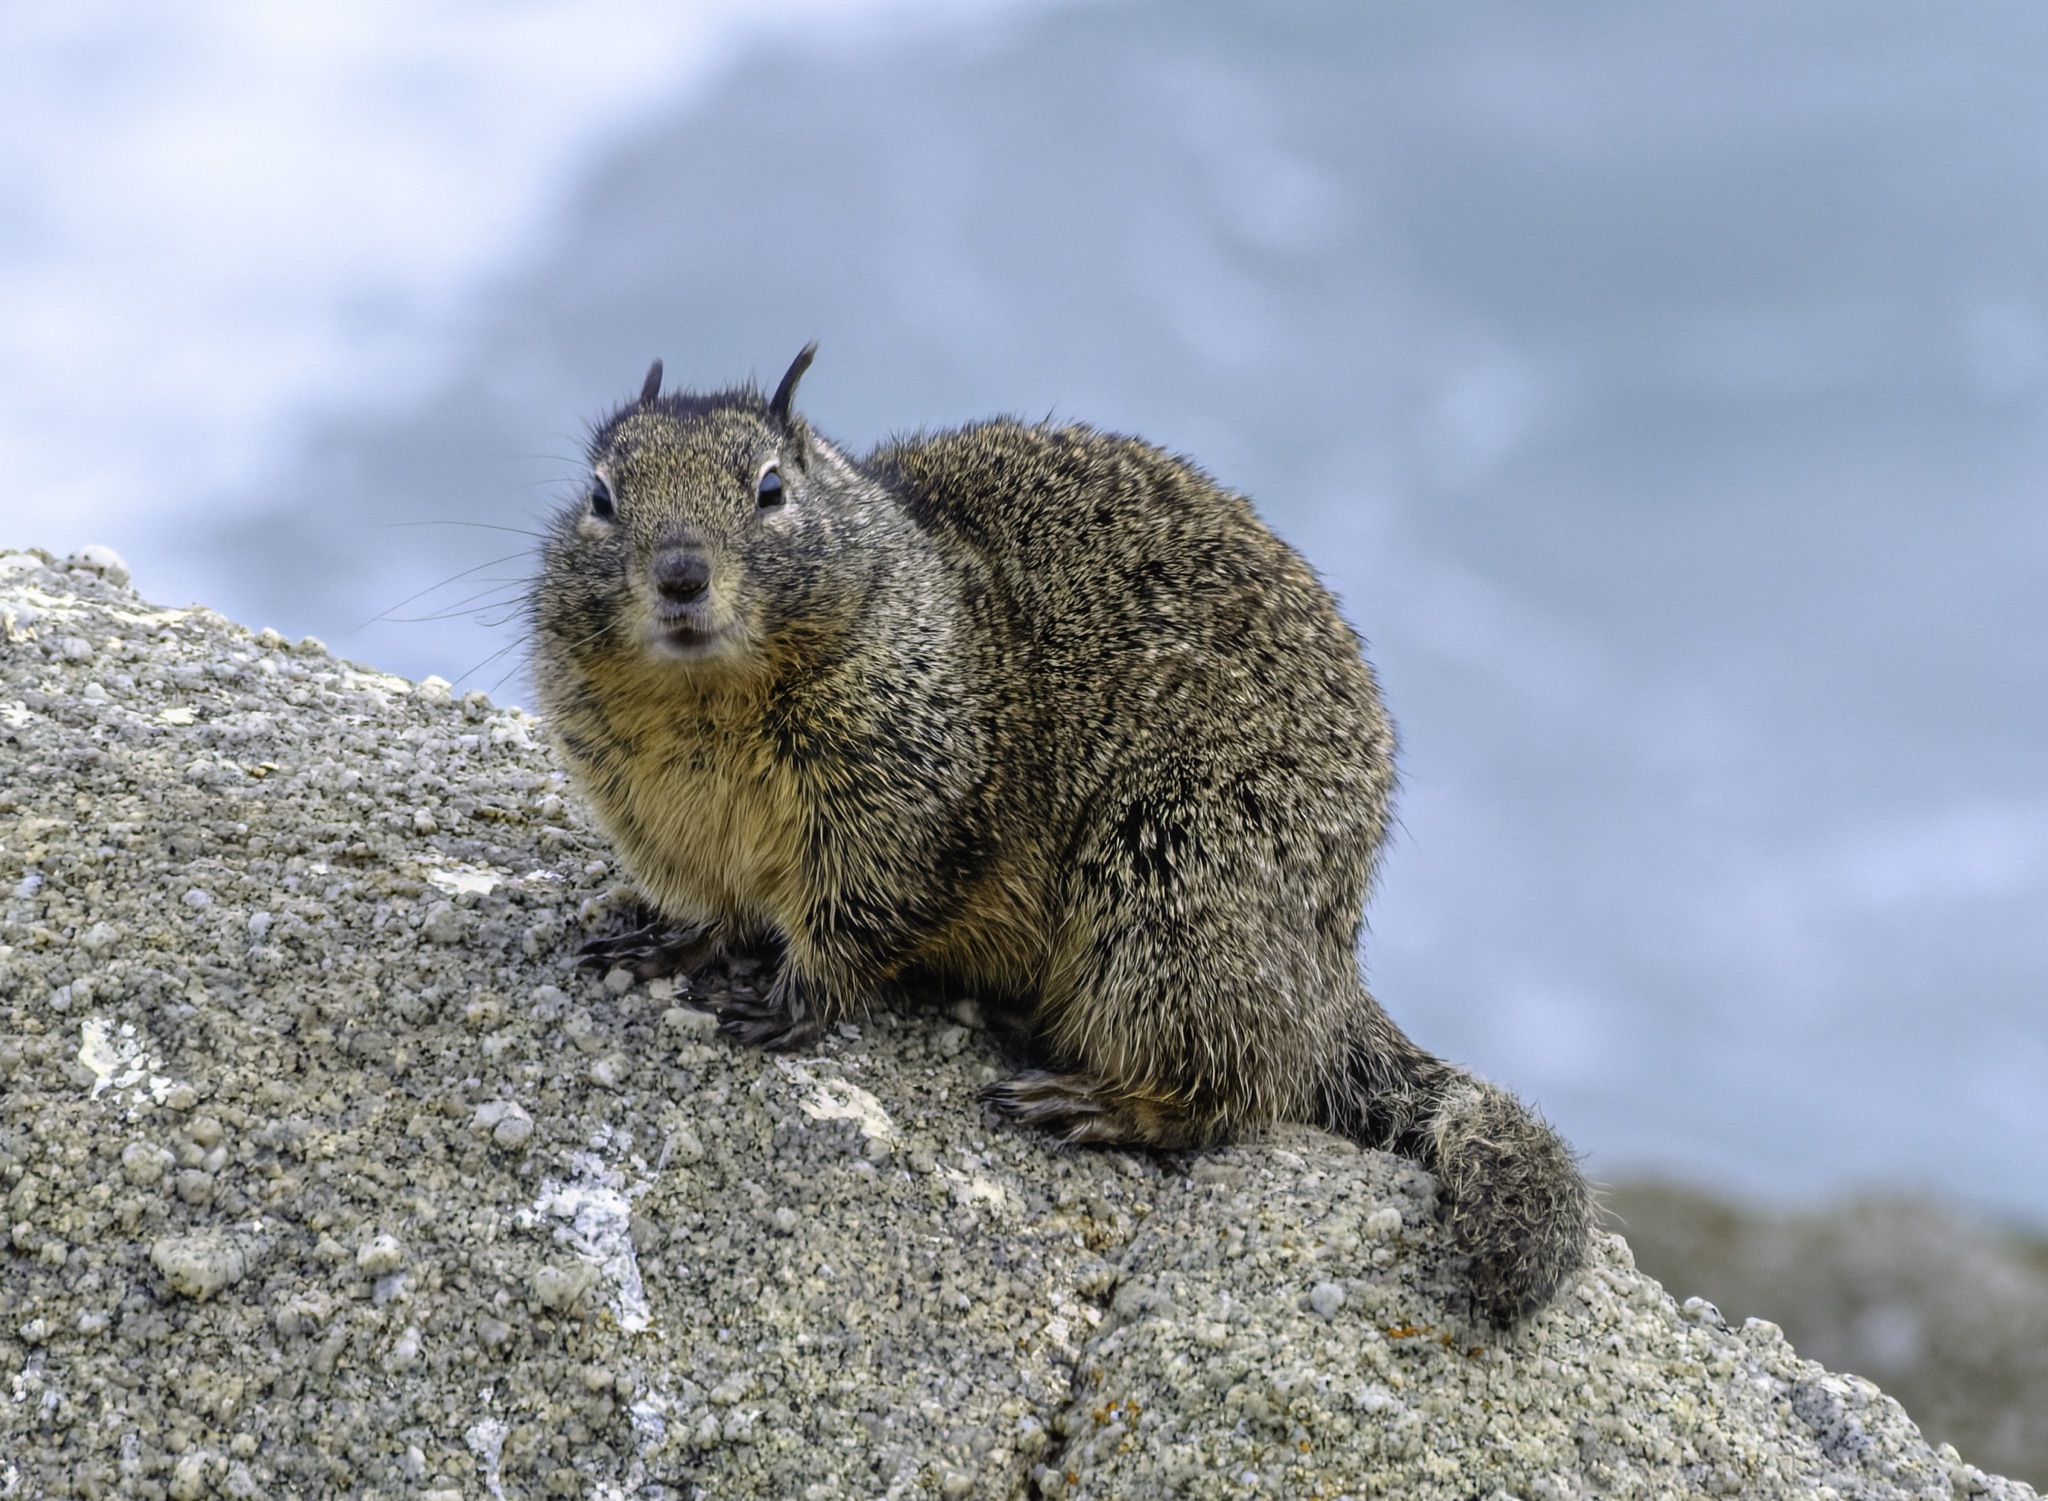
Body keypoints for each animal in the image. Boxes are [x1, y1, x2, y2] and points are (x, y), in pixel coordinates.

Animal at [529, 346, 1590, 1326]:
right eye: (601, 495)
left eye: (770, 489)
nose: (679, 575)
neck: (709, 707)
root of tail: (1330, 969)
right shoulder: (654, 810)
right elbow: (708, 902)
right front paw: (659, 938)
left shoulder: (908, 794)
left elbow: (863, 912)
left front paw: (789, 996)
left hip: (1176, 892)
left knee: (1237, 1088)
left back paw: (1091, 1102)